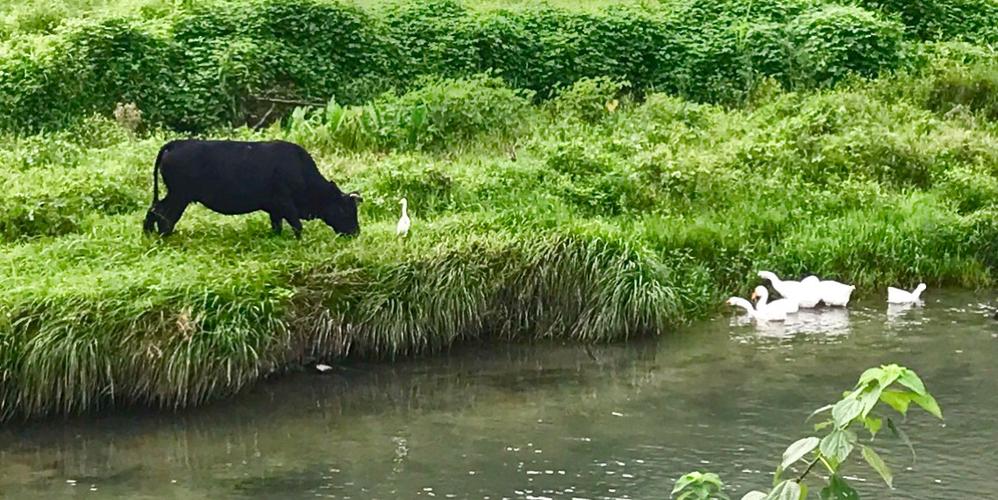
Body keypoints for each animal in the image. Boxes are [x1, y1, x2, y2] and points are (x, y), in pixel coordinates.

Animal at [139, 139, 362, 236]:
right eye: (345, 210)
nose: (355, 232)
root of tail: (175, 144)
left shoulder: (275, 208)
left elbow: (277, 226)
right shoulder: (285, 203)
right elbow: (297, 226)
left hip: (176, 194)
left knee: (155, 209)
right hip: (179, 195)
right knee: (163, 214)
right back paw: (163, 235)